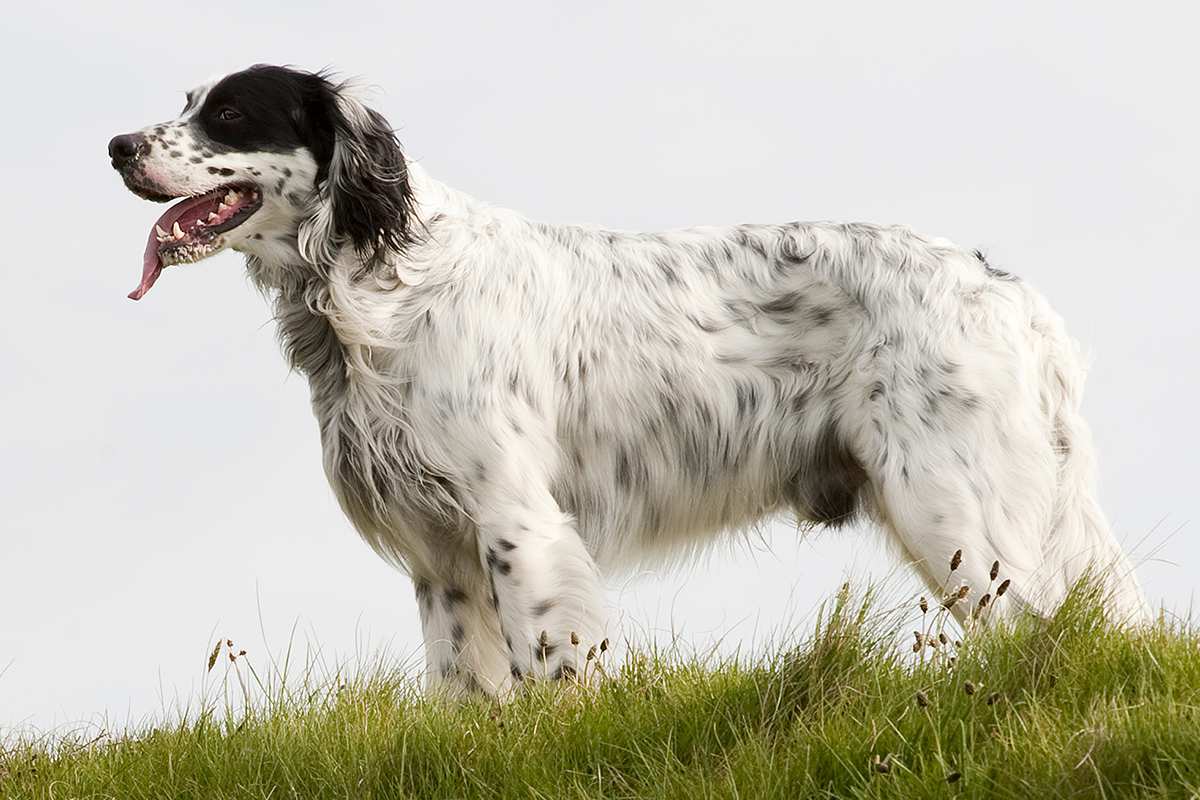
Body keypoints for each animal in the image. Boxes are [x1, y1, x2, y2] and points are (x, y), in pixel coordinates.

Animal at [108, 65, 1147, 695]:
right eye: (188, 102)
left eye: (228, 113)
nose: (116, 147)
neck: (377, 286)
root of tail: (1009, 293)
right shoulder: (438, 558)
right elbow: (464, 688)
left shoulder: (515, 519)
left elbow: (550, 662)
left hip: (951, 511)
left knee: (1047, 629)